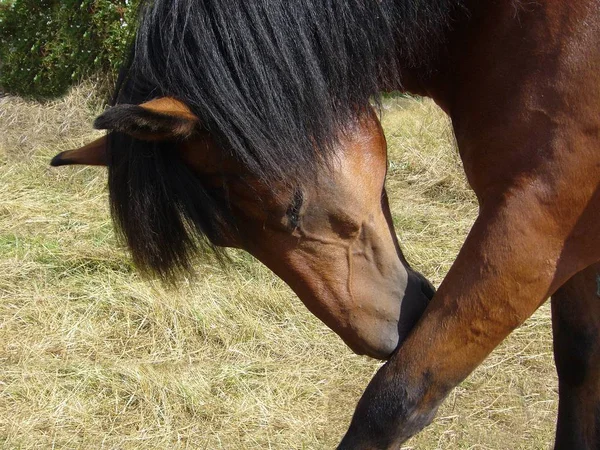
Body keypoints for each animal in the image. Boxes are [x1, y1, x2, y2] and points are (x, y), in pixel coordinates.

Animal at [50, 0, 600, 448]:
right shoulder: (577, 236)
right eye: (229, 237)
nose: (385, 340)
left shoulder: (534, 221)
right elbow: (579, 361)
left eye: (291, 208)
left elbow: (394, 403)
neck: (497, 23)